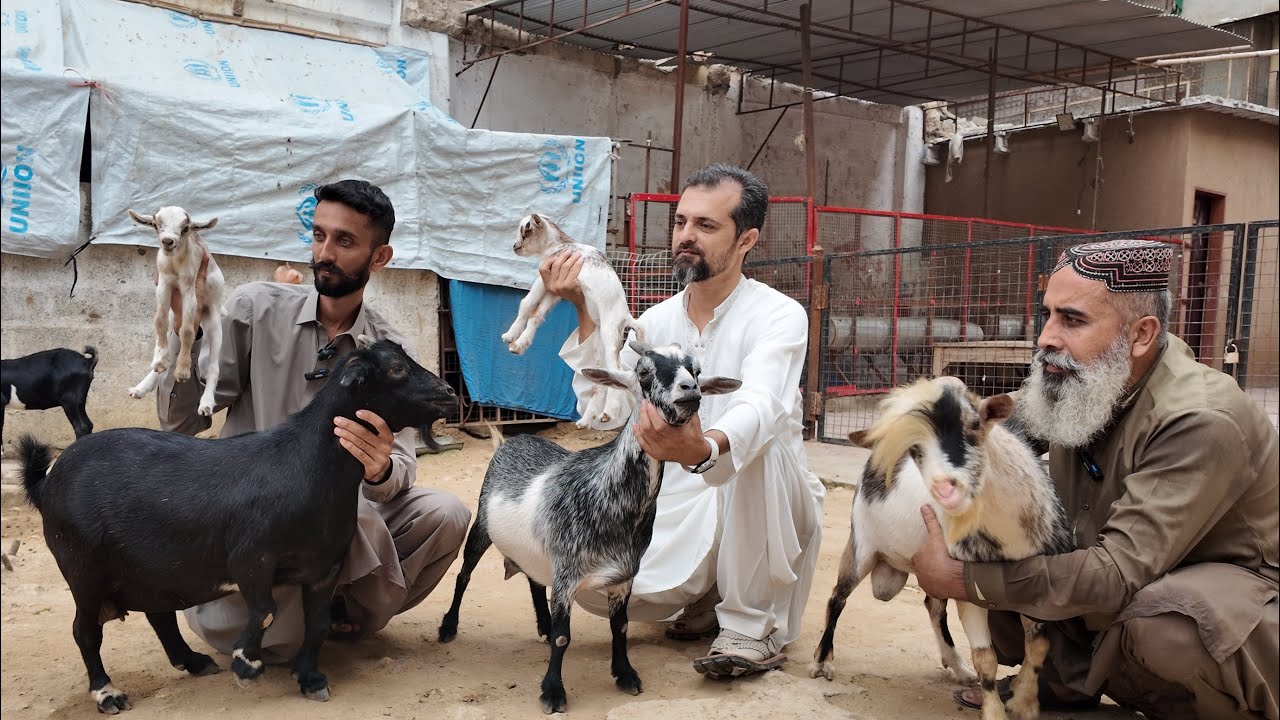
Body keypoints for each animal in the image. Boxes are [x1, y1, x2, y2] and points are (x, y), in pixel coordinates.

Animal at [18, 338, 456, 714]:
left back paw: (192, 662)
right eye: (396, 368)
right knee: (85, 630)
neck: (308, 466)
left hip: (143, 570)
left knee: (158, 613)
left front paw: (311, 678)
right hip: (82, 568)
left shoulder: (325, 567)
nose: (449, 393)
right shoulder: (251, 558)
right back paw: (107, 693)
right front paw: (246, 664)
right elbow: (264, 609)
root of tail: (48, 481)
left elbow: (316, 623)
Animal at [126, 206, 226, 416]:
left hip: (214, 319)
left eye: (185, 228)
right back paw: (143, 385)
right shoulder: (164, 285)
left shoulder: (189, 290)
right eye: (156, 224)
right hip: (174, 317)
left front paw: (182, 372)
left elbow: (187, 330)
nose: (168, 241)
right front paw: (159, 361)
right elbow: (159, 321)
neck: (175, 265)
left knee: (213, 366)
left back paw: (206, 404)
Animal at [437, 341, 741, 714]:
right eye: (644, 371)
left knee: (534, 581)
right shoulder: (567, 573)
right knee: (464, 575)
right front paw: (553, 692)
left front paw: (625, 674)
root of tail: (510, 441)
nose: (690, 391)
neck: (607, 496)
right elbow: (563, 637)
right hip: (482, 526)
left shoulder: (623, 577)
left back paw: (542, 624)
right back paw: (449, 627)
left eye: (696, 371)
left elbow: (620, 626)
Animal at [500, 212, 644, 427]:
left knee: (617, 372)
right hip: (600, 344)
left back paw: (609, 412)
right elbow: (537, 314)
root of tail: (626, 316)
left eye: (526, 230)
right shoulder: (553, 288)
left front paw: (510, 335)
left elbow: (527, 303)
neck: (559, 244)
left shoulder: (544, 279)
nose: (515, 247)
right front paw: (520, 344)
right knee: (603, 381)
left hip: (609, 334)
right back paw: (586, 420)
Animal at [809, 376, 1072, 720]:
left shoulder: (1036, 582)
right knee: (837, 597)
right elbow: (986, 658)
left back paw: (958, 667)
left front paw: (1023, 702)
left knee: (933, 607)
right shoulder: (970, 587)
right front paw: (995, 711)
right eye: (915, 449)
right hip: (861, 544)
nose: (946, 489)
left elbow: (1039, 645)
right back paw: (823, 660)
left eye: (976, 423)